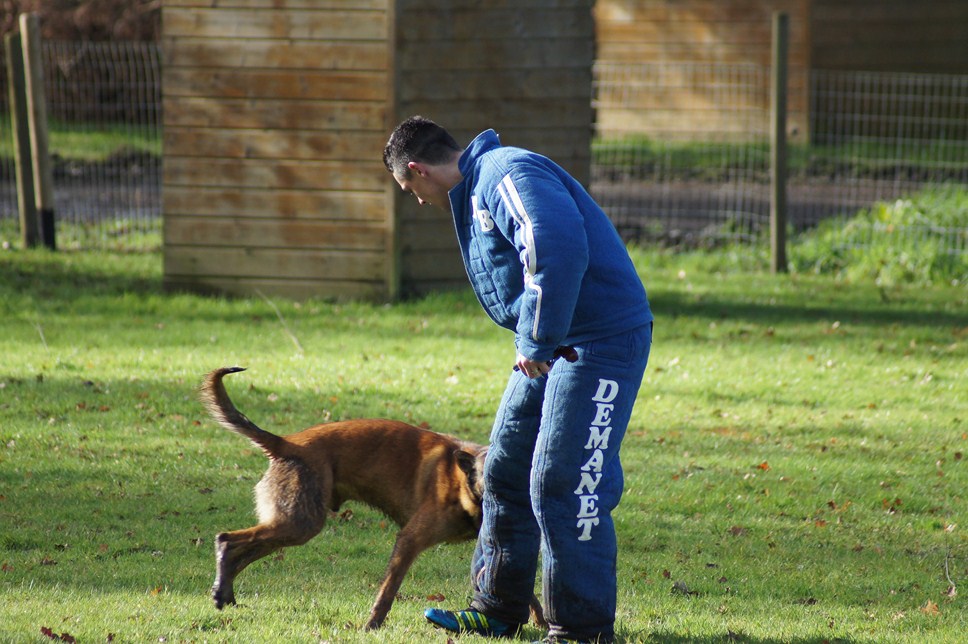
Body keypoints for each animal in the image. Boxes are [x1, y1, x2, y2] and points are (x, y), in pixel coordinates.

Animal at [199, 368, 544, 628]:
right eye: (488, 473)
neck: (462, 481)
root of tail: (287, 443)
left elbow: (524, 591)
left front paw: (540, 622)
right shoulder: (409, 540)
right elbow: (388, 590)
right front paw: (373, 625)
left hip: (289, 525)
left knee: (240, 552)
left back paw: (225, 594)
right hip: (298, 523)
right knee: (227, 539)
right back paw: (221, 586)